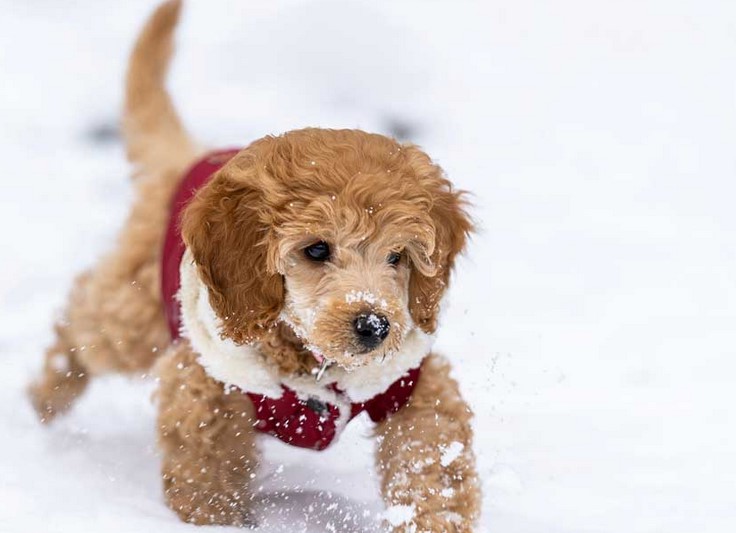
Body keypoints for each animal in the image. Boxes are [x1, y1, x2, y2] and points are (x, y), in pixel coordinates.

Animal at [25, 2, 480, 528]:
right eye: (317, 250)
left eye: (397, 257)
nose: (374, 326)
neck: (310, 363)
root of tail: (192, 158)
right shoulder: (205, 385)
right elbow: (206, 476)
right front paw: (219, 520)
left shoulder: (408, 383)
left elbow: (433, 459)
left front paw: (433, 520)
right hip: (134, 311)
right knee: (84, 318)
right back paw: (47, 395)